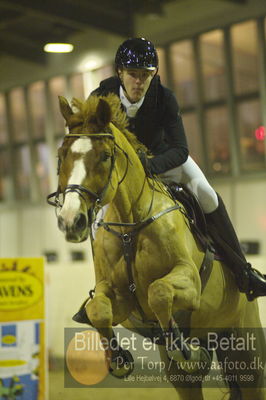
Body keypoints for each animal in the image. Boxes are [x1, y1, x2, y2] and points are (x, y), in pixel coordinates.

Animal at [46, 94, 264, 400]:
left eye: (105, 156)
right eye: (61, 156)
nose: (70, 220)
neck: (130, 225)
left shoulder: (190, 281)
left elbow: (158, 292)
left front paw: (185, 349)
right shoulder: (118, 299)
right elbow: (98, 310)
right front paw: (119, 360)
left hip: (245, 350)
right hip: (187, 376)